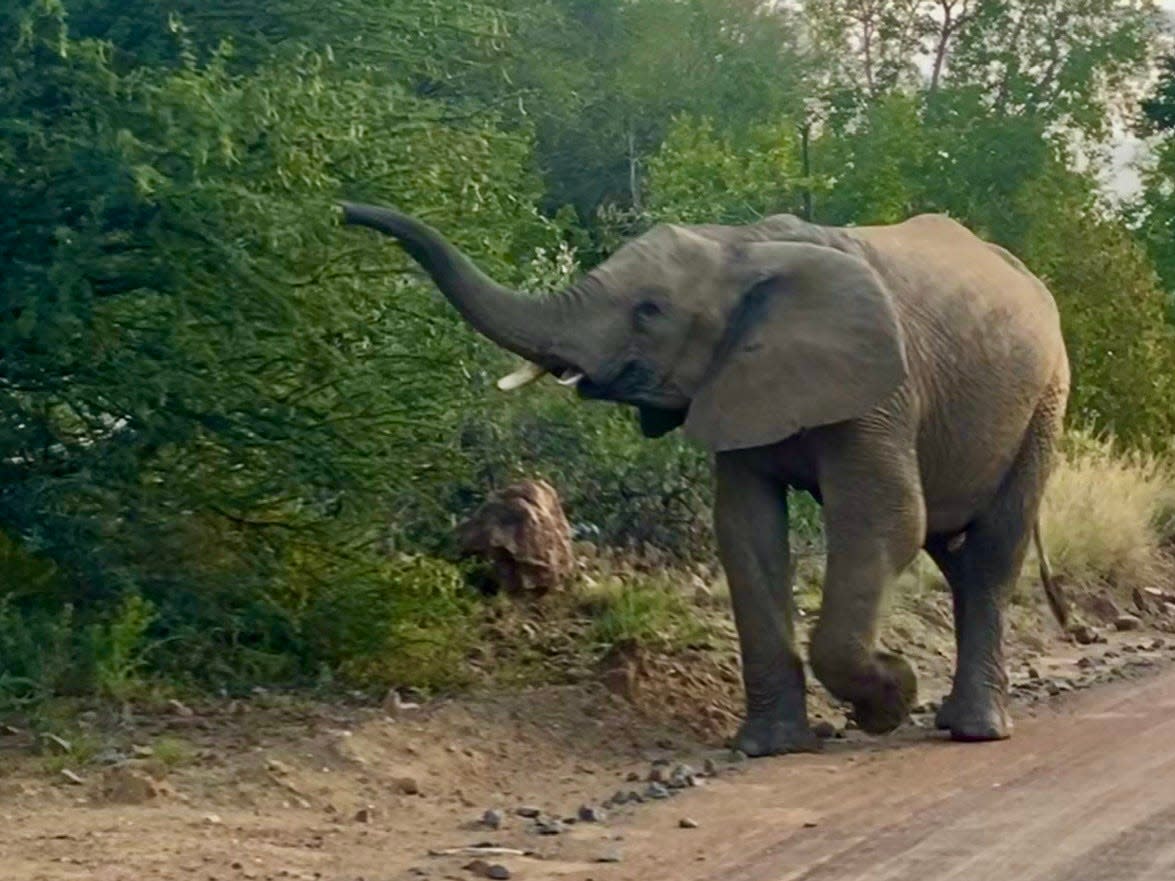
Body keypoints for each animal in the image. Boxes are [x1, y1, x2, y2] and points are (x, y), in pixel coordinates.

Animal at [336, 202, 1071, 761]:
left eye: (649, 310)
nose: (344, 210)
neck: (737, 247)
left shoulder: (880, 392)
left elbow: (883, 518)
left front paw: (890, 699)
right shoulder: (736, 379)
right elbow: (746, 531)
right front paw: (770, 748)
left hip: (1045, 399)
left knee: (990, 553)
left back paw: (973, 731)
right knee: (954, 555)